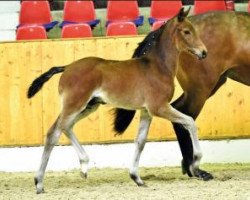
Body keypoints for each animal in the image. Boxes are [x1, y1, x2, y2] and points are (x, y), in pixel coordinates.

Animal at [27, 8, 207, 194]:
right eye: (186, 31)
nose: (204, 52)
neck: (158, 67)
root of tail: (67, 67)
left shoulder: (146, 111)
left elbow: (140, 141)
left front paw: (137, 178)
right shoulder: (159, 107)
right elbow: (190, 122)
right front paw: (196, 162)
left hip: (88, 106)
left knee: (63, 128)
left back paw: (64, 173)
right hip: (75, 105)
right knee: (56, 131)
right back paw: (50, 178)